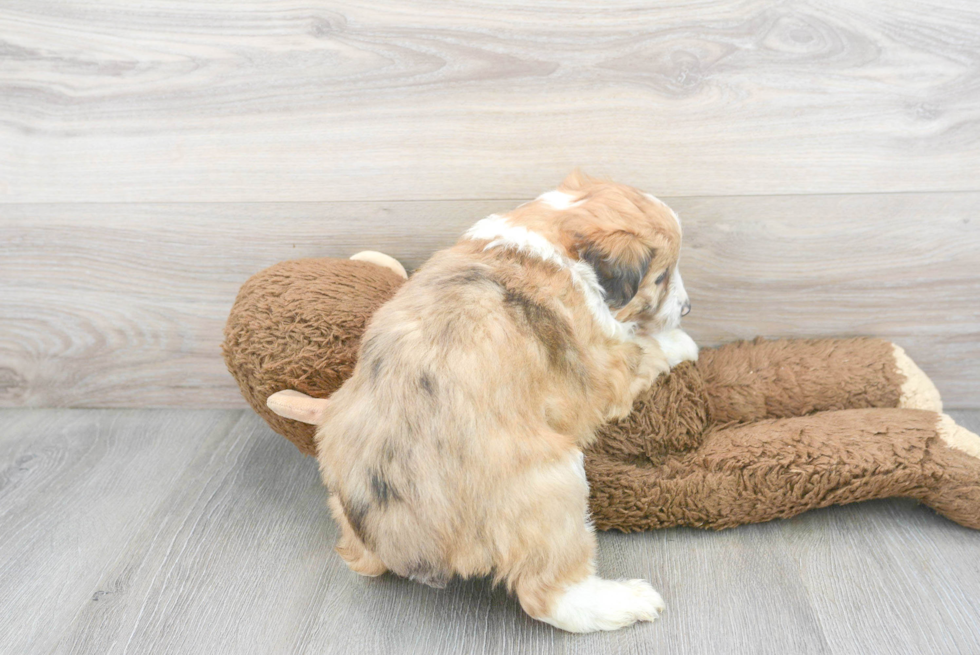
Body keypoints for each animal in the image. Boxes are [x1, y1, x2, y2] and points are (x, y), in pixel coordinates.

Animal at [268, 172, 696, 632]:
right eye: (661, 277)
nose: (688, 307)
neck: (556, 241)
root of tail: (395, 533)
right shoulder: (608, 370)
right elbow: (647, 348)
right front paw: (682, 341)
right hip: (554, 484)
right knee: (548, 595)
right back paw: (625, 601)